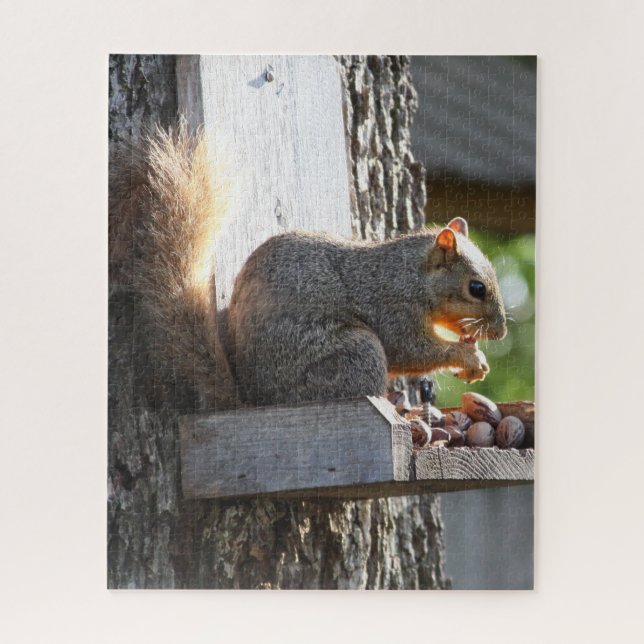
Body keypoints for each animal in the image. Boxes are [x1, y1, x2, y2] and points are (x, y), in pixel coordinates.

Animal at [109, 122, 507, 410]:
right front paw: (467, 356)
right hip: (354, 354)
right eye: (476, 288)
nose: (501, 333)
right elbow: (411, 350)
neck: (411, 276)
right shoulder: (392, 307)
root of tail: (257, 401)